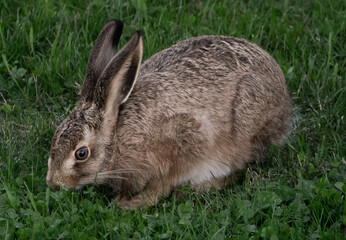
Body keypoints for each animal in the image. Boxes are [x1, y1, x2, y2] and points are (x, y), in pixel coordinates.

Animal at [46, 19, 292, 209]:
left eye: (81, 153)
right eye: (55, 136)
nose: (53, 183)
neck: (118, 136)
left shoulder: (184, 143)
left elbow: (162, 186)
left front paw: (130, 203)